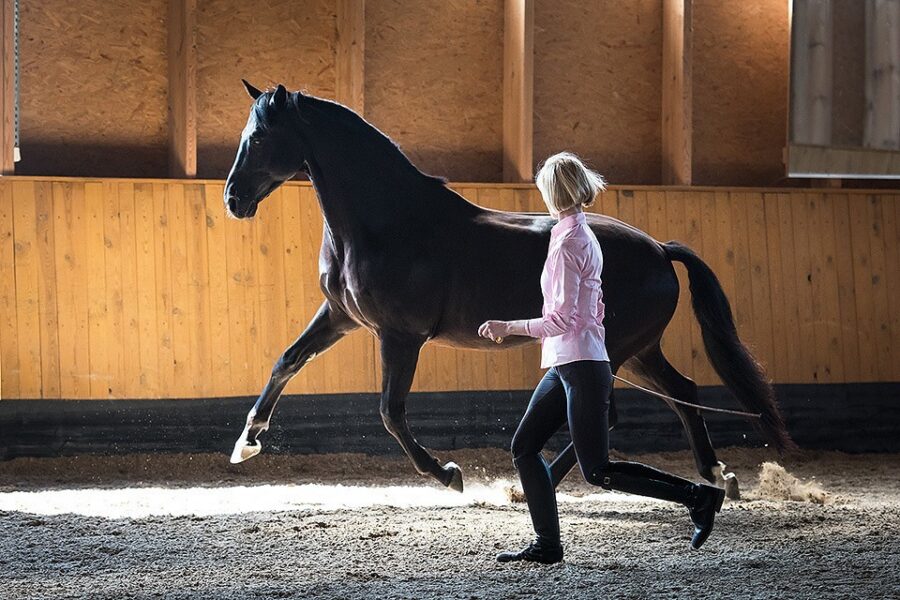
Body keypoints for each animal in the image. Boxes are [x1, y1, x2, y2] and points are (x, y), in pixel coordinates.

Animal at [224, 82, 794, 496]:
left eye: (260, 137)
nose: (233, 198)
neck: (387, 223)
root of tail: (659, 248)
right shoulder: (341, 316)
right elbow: (286, 361)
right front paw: (246, 444)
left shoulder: (399, 336)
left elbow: (390, 412)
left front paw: (447, 474)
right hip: (636, 351)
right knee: (682, 393)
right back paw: (717, 474)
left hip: (613, 349)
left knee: (615, 412)